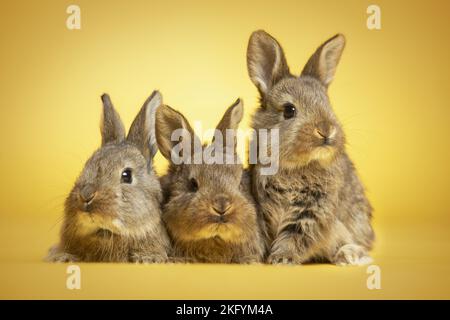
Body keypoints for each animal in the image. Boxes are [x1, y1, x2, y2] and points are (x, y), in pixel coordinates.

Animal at [46, 90, 171, 262]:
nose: (86, 196)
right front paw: (62, 258)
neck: (104, 233)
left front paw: (147, 259)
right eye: (86, 165)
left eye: (127, 175)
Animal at [248, 30, 374, 264]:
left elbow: (296, 234)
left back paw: (349, 256)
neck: (295, 165)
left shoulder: (312, 210)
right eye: (289, 110)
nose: (326, 130)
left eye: (328, 104)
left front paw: (281, 258)